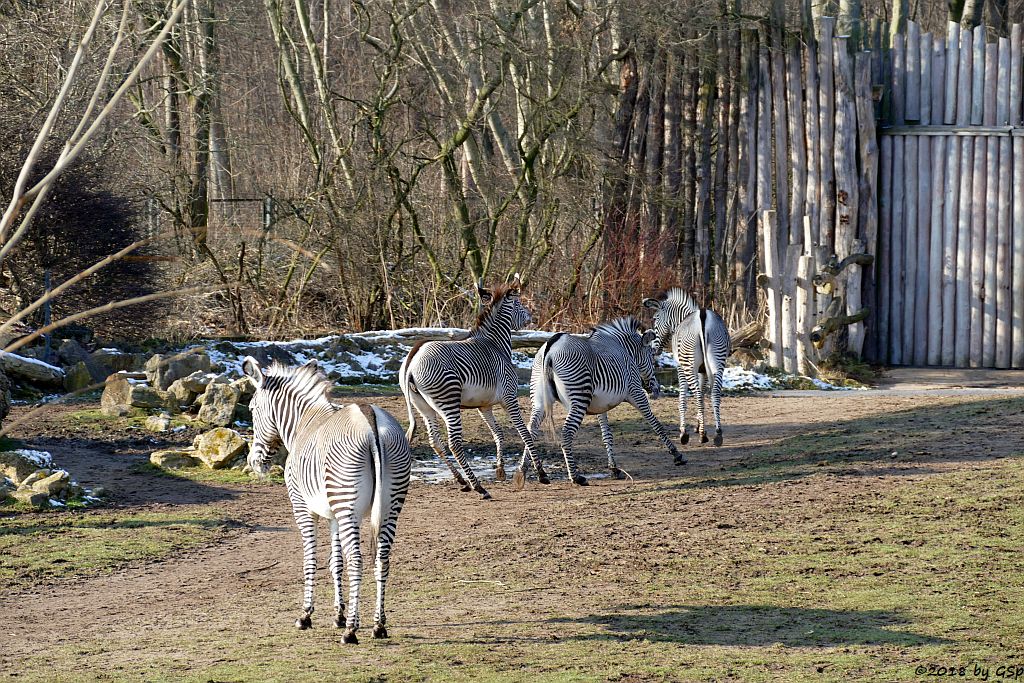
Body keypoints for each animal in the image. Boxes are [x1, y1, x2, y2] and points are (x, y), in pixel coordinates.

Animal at [243, 358, 411, 647]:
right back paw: (378, 625)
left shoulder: (303, 507)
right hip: (390, 504)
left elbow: (310, 558)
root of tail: (369, 417)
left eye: (252, 409)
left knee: (357, 560)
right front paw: (339, 615)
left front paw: (306, 615)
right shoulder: (333, 514)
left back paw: (352, 632)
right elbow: (335, 562)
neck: (302, 423)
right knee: (382, 558)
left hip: (347, 503)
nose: (253, 462)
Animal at [397, 274, 552, 499]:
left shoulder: (483, 405)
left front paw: (500, 469)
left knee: (435, 440)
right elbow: (525, 432)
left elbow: (498, 433)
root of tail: (413, 358)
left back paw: (462, 481)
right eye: (519, 303)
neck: (496, 345)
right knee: (453, 443)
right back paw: (479, 487)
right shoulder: (509, 398)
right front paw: (541, 473)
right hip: (448, 401)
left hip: (423, 405)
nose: (531, 318)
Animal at [520, 317, 688, 483]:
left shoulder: (600, 405)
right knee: (566, 432)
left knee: (531, 429)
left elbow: (607, 435)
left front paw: (614, 468)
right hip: (579, 398)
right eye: (651, 356)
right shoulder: (635, 391)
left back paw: (534, 471)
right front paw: (677, 455)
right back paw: (575, 477)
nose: (656, 390)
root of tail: (551, 346)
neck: (624, 349)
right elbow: (655, 423)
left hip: (540, 400)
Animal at [643, 290, 733, 446]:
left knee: (696, 394)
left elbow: (683, 399)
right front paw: (698, 426)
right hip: (719, 361)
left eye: (655, 319)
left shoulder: (680, 367)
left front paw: (684, 432)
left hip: (688, 364)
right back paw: (718, 434)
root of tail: (703, 315)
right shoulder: (703, 371)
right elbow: (702, 395)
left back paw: (701, 436)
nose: (653, 350)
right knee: (714, 394)